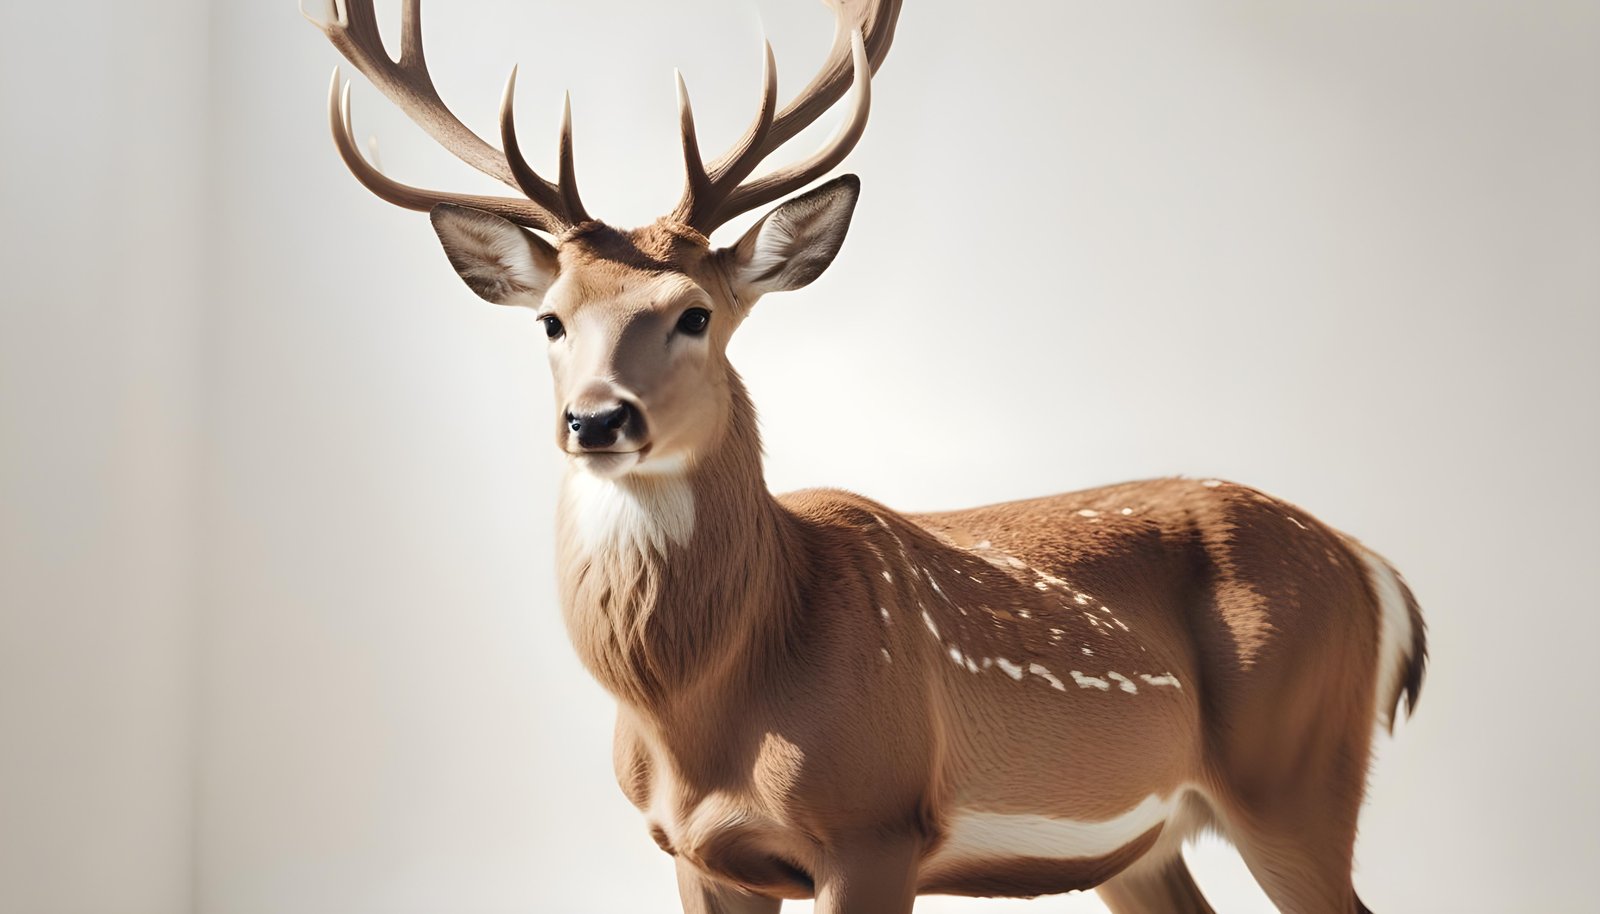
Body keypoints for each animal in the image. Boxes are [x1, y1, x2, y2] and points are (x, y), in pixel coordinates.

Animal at [302, 1, 1428, 911]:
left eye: (694, 313)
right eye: (550, 319)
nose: (595, 419)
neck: (700, 714)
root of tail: (1375, 570)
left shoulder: (875, 824)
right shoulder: (693, 853)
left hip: (1296, 767)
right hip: (1147, 840)